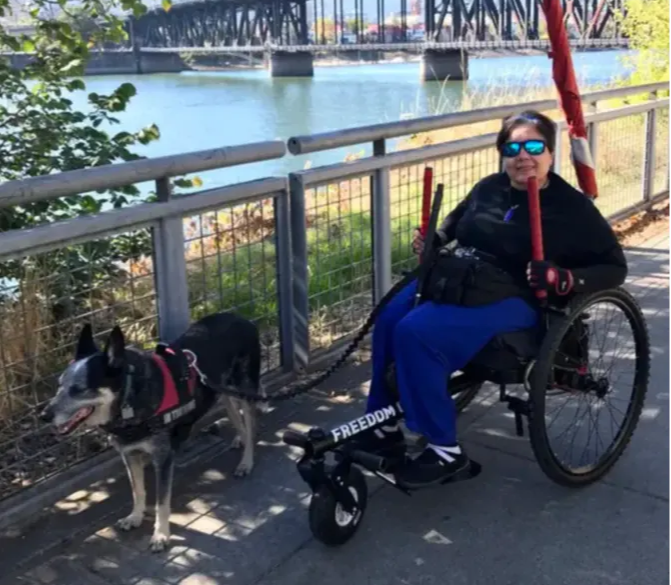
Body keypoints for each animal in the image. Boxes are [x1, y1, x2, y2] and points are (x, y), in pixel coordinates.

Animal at [39, 312, 266, 548]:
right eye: (60, 385)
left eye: (79, 389)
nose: (44, 416)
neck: (129, 397)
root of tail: (241, 317)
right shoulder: (130, 455)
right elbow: (138, 490)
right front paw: (135, 517)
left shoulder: (163, 458)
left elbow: (161, 501)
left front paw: (161, 534)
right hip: (223, 393)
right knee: (238, 417)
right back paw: (240, 440)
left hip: (245, 391)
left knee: (252, 426)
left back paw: (246, 462)